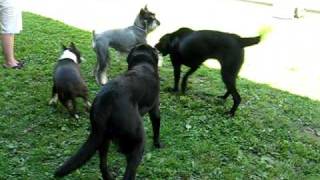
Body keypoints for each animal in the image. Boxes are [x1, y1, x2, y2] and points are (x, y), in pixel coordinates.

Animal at [54, 44, 162, 180]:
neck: (143, 63)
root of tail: (106, 100)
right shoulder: (155, 109)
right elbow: (156, 127)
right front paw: (158, 144)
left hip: (103, 138)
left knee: (102, 165)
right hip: (138, 140)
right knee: (129, 172)